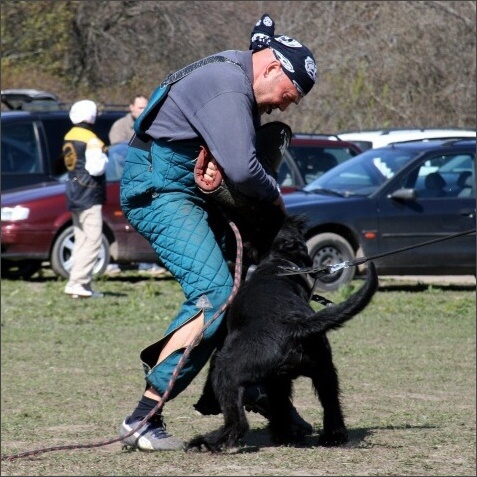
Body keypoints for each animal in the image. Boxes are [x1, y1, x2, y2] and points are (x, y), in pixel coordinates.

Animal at [186, 214, 376, 452]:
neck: (279, 263)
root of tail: (294, 326)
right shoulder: (281, 379)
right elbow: (282, 405)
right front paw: (285, 433)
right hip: (321, 369)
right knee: (329, 402)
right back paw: (328, 436)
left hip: (228, 371)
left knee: (238, 422)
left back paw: (205, 442)